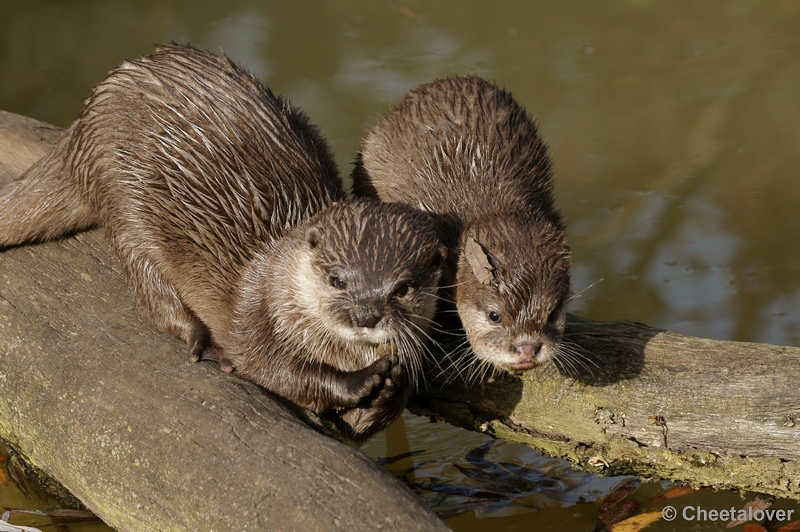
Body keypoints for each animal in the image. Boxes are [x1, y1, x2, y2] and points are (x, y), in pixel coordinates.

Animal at [0, 44, 446, 440]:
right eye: (337, 280)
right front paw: (361, 381)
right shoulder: (255, 315)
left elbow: (354, 428)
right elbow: (274, 369)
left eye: (403, 288)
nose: (366, 314)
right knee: (155, 293)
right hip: (123, 202)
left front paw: (392, 388)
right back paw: (205, 343)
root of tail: (84, 122)